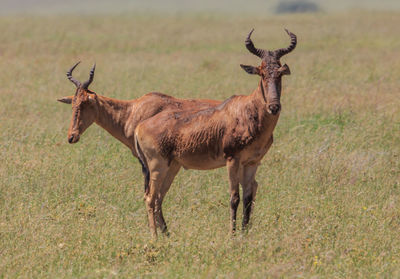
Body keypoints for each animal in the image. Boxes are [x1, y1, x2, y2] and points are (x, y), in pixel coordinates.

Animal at [134, 29, 296, 238]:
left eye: (279, 73)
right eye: (261, 72)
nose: (274, 107)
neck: (247, 109)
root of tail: (140, 126)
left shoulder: (252, 163)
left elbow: (248, 198)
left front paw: (244, 234)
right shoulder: (232, 159)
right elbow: (234, 197)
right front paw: (232, 235)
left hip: (172, 166)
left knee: (159, 197)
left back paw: (167, 234)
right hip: (157, 165)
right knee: (150, 197)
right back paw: (154, 237)